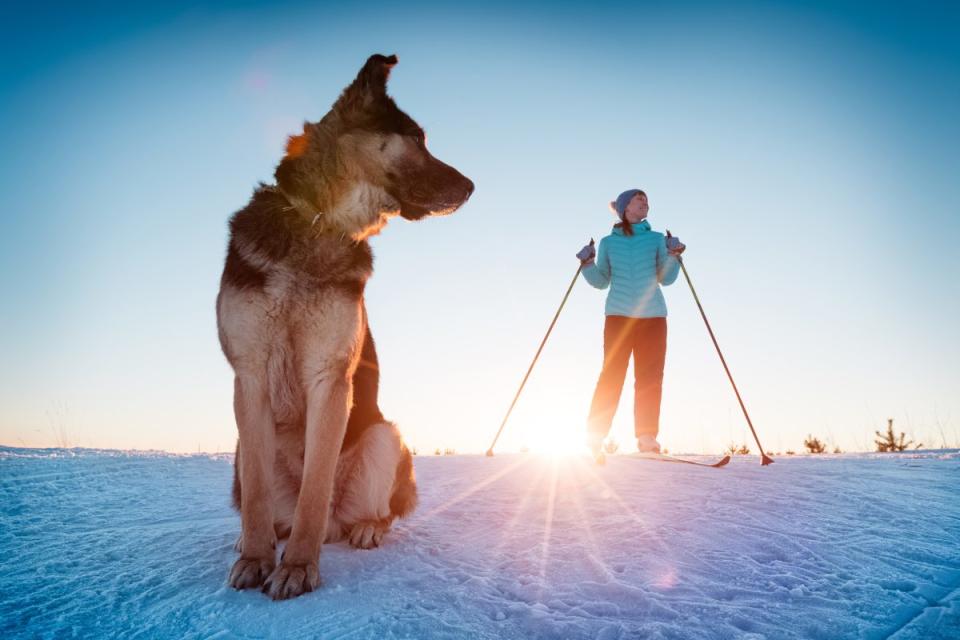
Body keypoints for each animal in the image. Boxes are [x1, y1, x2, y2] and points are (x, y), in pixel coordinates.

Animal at [217, 55, 472, 600]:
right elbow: (257, 500)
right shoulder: (250, 377)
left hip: (384, 435)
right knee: (268, 504)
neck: (315, 223)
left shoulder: (330, 378)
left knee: (364, 510)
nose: (470, 188)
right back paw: (259, 538)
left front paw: (297, 567)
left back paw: (364, 527)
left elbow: (315, 487)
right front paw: (255, 557)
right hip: (240, 450)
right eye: (417, 139)